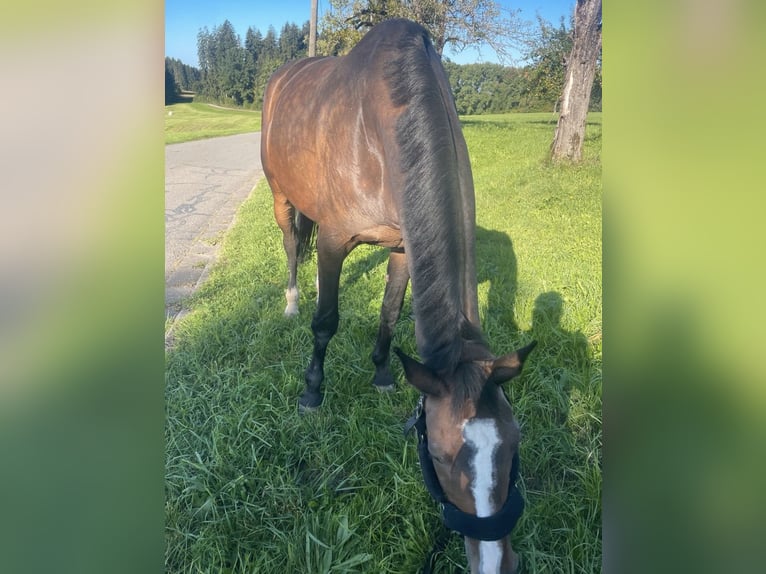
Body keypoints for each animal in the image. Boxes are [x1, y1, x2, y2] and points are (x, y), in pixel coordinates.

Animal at [261, 19, 535, 574]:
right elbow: (327, 320)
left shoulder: (406, 246)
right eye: (442, 456)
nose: (495, 560)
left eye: (513, 445)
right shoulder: (334, 239)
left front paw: (383, 372)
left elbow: (389, 312)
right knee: (291, 245)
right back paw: (292, 300)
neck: (378, 129)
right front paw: (312, 392)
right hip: (281, 195)